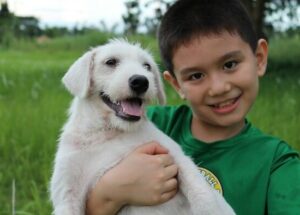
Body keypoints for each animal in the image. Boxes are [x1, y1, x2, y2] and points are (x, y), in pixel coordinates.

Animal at [50, 39, 236, 215]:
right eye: (110, 62)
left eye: (146, 66)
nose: (140, 81)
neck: (110, 132)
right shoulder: (67, 191)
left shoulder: (175, 155)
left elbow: (202, 193)